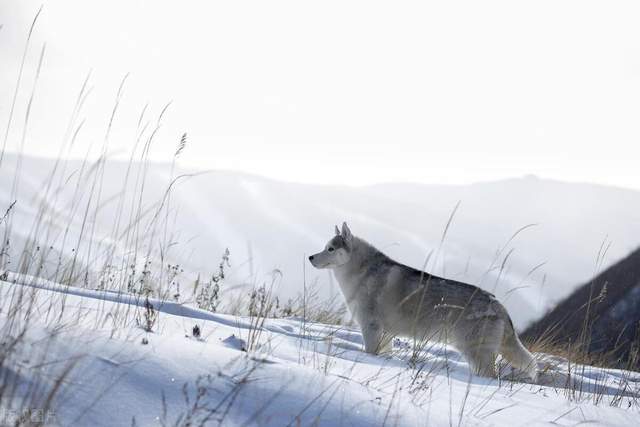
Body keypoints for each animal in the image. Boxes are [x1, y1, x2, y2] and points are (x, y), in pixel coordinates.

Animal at [308, 222, 536, 380]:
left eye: (330, 249)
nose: (310, 257)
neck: (362, 272)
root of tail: (498, 304)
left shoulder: (371, 327)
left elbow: (370, 353)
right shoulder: (385, 335)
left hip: (476, 353)